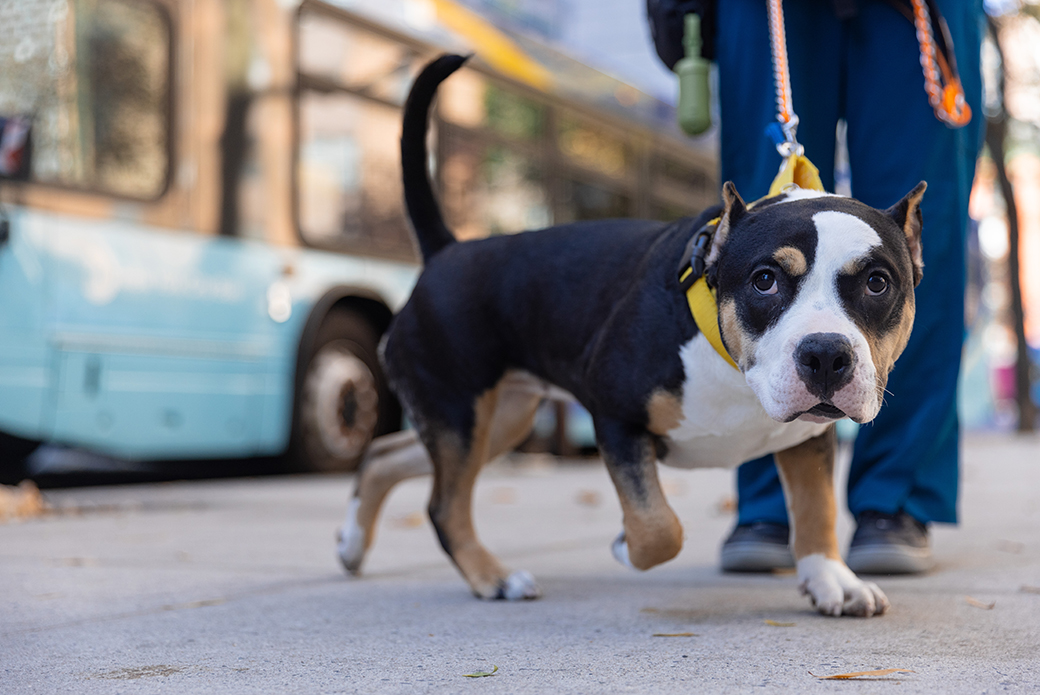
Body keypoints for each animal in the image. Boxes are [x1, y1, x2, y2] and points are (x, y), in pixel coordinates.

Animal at [339, 55, 927, 620]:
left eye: (878, 283)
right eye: (765, 280)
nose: (825, 354)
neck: (727, 361)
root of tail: (446, 252)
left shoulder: (810, 438)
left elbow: (815, 509)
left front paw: (831, 579)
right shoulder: (616, 416)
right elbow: (659, 529)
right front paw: (626, 544)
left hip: (495, 419)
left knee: (387, 455)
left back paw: (352, 542)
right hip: (461, 413)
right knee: (443, 505)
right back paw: (493, 578)